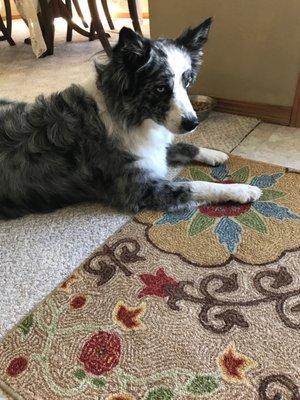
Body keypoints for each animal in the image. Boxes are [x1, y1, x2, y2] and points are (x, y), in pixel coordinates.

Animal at [0, 18, 260, 219]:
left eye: (186, 82)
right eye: (160, 88)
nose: (192, 123)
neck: (129, 115)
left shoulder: (152, 150)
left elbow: (181, 145)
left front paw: (214, 154)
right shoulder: (140, 189)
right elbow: (195, 185)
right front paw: (241, 190)